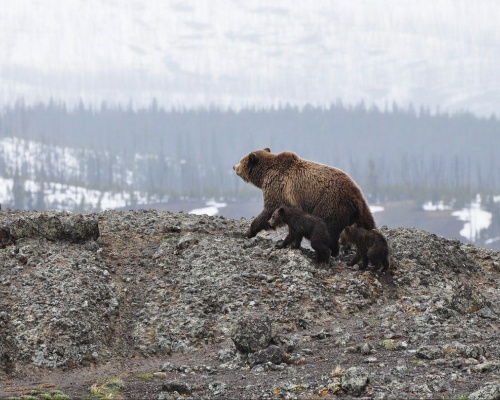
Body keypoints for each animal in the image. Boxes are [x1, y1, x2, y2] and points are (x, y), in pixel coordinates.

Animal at [233, 148, 376, 256]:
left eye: (241, 160)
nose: (234, 166)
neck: (264, 174)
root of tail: (355, 196)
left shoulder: (278, 188)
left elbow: (269, 210)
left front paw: (248, 231)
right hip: (359, 211)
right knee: (367, 224)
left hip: (330, 203)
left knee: (327, 228)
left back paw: (329, 250)